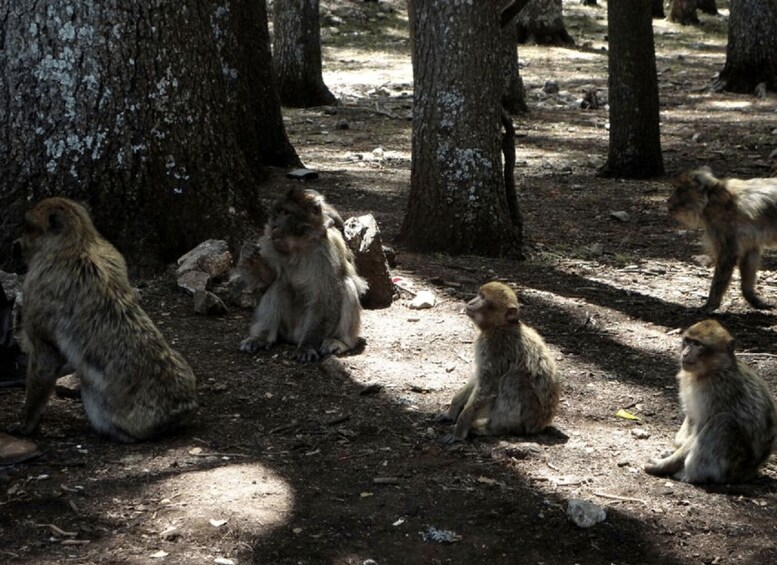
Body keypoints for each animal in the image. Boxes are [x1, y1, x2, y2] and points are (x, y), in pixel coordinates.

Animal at [9, 196, 197, 442]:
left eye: (29, 226)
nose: (16, 244)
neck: (78, 242)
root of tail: (180, 411)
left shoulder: (37, 288)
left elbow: (45, 358)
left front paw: (27, 423)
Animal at [238, 186, 368, 362]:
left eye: (286, 213)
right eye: (277, 212)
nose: (274, 225)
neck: (298, 245)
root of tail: (294, 336)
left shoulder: (325, 253)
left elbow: (325, 299)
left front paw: (307, 346)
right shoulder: (270, 243)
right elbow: (268, 279)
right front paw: (250, 255)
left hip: (307, 327)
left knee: (346, 284)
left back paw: (340, 341)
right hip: (286, 327)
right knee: (279, 284)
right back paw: (262, 337)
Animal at [436, 280, 556, 440]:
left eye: (483, 298)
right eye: (478, 294)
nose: (471, 302)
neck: (500, 326)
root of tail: (541, 425)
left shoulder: (495, 347)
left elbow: (487, 388)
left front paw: (460, 429)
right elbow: (478, 380)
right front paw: (452, 411)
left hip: (529, 417)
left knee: (513, 378)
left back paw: (495, 428)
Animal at [644, 320, 776, 482]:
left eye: (698, 344)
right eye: (688, 341)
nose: (685, 353)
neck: (709, 371)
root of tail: (750, 473)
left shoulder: (717, 390)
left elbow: (702, 427)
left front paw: (664, 465)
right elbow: (692, 416)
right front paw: (675, 448)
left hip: (732, 465)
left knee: (724, 422)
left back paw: (690, 474)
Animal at [664, 165, 776, 310]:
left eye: (679, 189)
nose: (668, 200)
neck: (709, 199)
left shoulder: (723, 225)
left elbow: (728, 255)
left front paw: (710, 304)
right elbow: (749, 255)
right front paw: (752, 298)